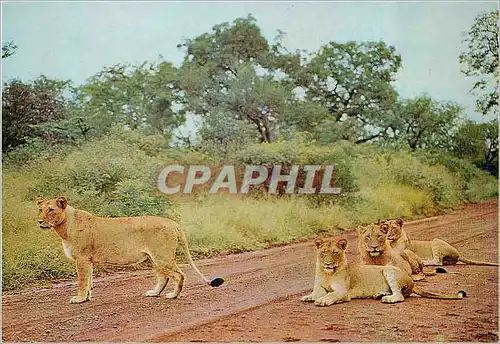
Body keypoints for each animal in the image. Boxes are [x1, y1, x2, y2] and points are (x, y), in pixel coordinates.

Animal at [35, 196, 223, 304]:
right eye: (40, 209)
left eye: (51, 210)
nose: (39, 221)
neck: (66, 226)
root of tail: (174, 223)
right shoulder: (88, 261)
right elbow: (89, 281)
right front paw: (87, 298)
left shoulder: (81, 258)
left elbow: (82, 281)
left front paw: (79, 299)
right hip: (154, 258)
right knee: (163, 277)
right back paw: (154, 293)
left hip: (162, 257)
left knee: (179, 275)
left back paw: (173, 296)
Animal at [300, 239, 468, 306]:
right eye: (323, 253)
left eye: (335, 253)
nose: (328, 263)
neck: (327, 273)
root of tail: (410, 278)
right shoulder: (319, 288)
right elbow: (315, 293)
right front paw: (308, 297)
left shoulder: (343, 292)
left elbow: (331, 295)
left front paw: (322, 300)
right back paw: (380, 294)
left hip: (388, 269)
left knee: (400, 296)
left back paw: (388, 299)